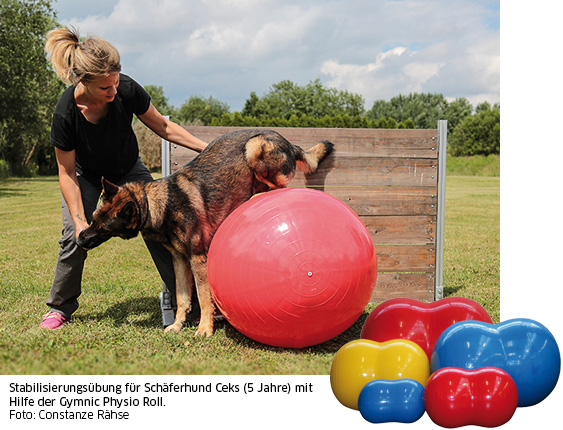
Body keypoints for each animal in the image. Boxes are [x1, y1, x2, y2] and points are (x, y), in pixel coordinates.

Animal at [78, 129, 334, 338]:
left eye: (104, 227)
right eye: (93, 218)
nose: (80, 239)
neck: (157, 204)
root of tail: (288, 141)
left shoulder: (198, 259)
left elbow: (202, 297)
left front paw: (204, 329)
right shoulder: (180, 261)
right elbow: (182, 298)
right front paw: (177, 325)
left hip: (255, 147)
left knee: (281, 186)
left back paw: (259, 197)